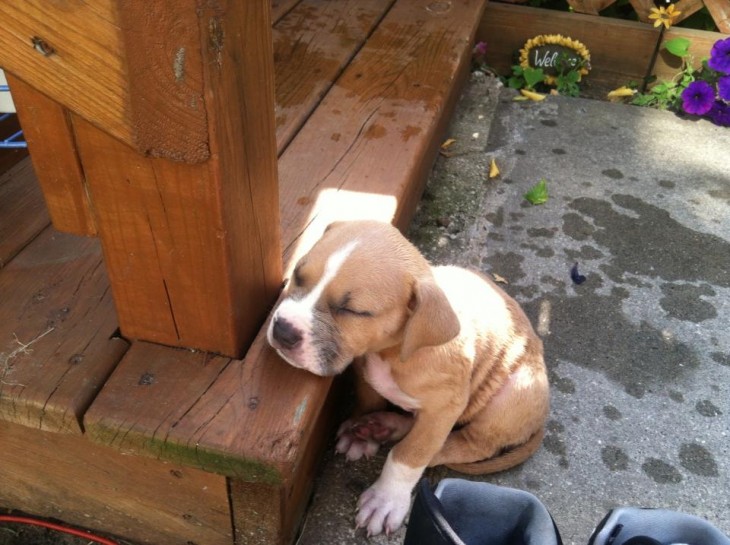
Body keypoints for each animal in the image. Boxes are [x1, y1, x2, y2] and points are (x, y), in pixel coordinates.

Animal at [266, 220, 544, 536]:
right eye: (298, 276)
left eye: (352, 311)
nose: (283, 330)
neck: (392, 351)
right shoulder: (366, 374)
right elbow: (370, 400)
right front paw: (362, 433)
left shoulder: (444, 407)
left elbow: (411, 454)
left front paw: (385, 499)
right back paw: (382, 426)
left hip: (513, 394)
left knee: (468, 445)